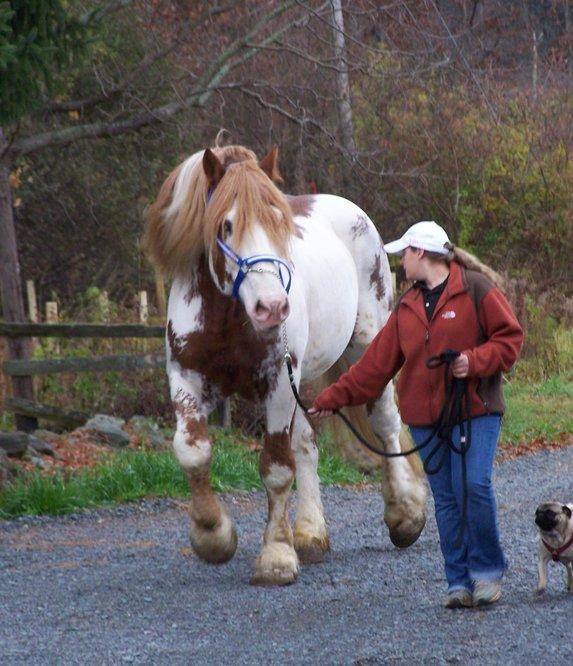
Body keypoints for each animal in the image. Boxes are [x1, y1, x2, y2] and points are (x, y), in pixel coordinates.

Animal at [145, 143, 426, 584]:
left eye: (280, 221)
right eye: (225, 225)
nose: (273, 307)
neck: (230, 317)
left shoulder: (277, 383)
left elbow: (276, 468)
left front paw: (276, 556)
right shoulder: (185, 378)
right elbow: (193, 451)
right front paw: (213, 535)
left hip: (366, 348)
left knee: (385, 424)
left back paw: (404, 515)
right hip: (306, 381)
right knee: (308, 444)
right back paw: (310, 535)